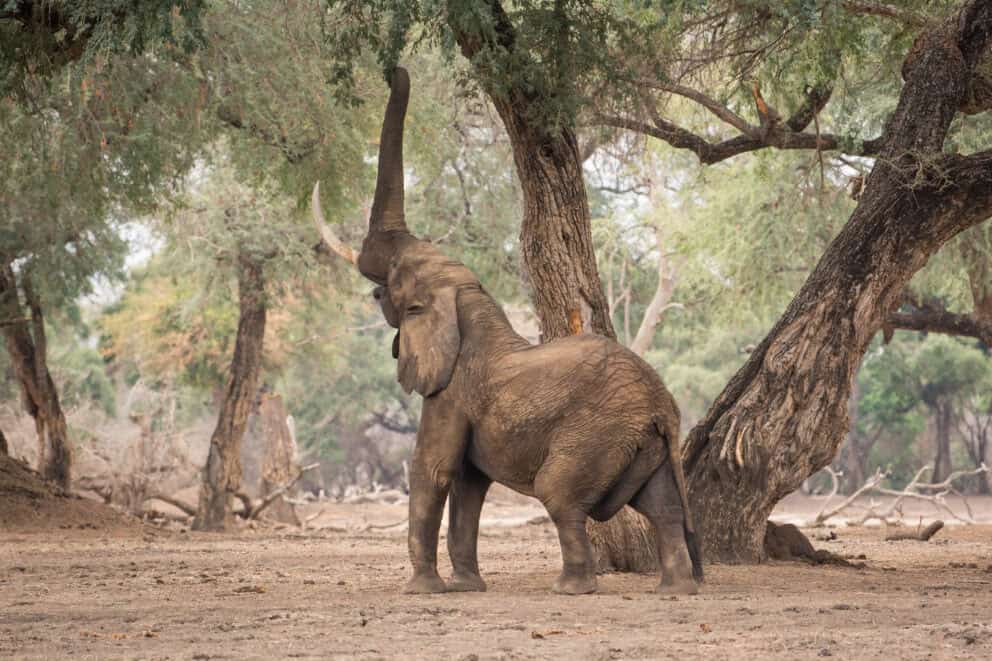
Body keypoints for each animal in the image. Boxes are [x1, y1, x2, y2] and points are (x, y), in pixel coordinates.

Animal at [312, 67, 702, 596]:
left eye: (391, 283)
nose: (394, 70)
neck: (467, 302)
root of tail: (664, 406)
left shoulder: (451, 391)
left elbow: (434, 470)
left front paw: (424, 591)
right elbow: (469, 484)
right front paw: (466, 587)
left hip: (596, 435)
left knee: (560, 496)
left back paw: (570, 588)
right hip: (648, 445)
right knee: (662, 508)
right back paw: (674, 590)